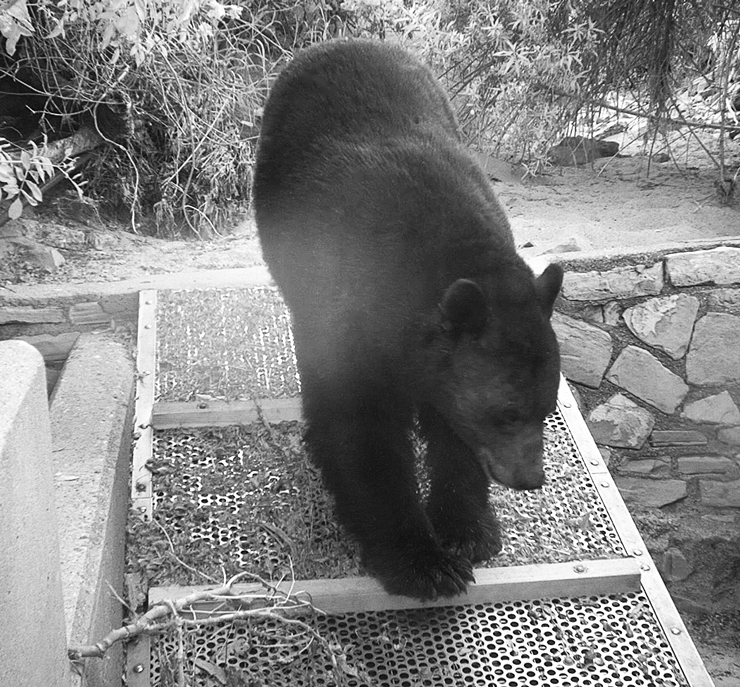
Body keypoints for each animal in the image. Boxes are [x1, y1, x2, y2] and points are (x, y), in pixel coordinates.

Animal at [254, 39, 560, 600]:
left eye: (547, 408)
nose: (531, 477)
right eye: (507, 413)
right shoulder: (349, 309)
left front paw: (468, 529)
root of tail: (341, 42)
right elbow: (362, 432)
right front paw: (422, 561)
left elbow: (452, 433)